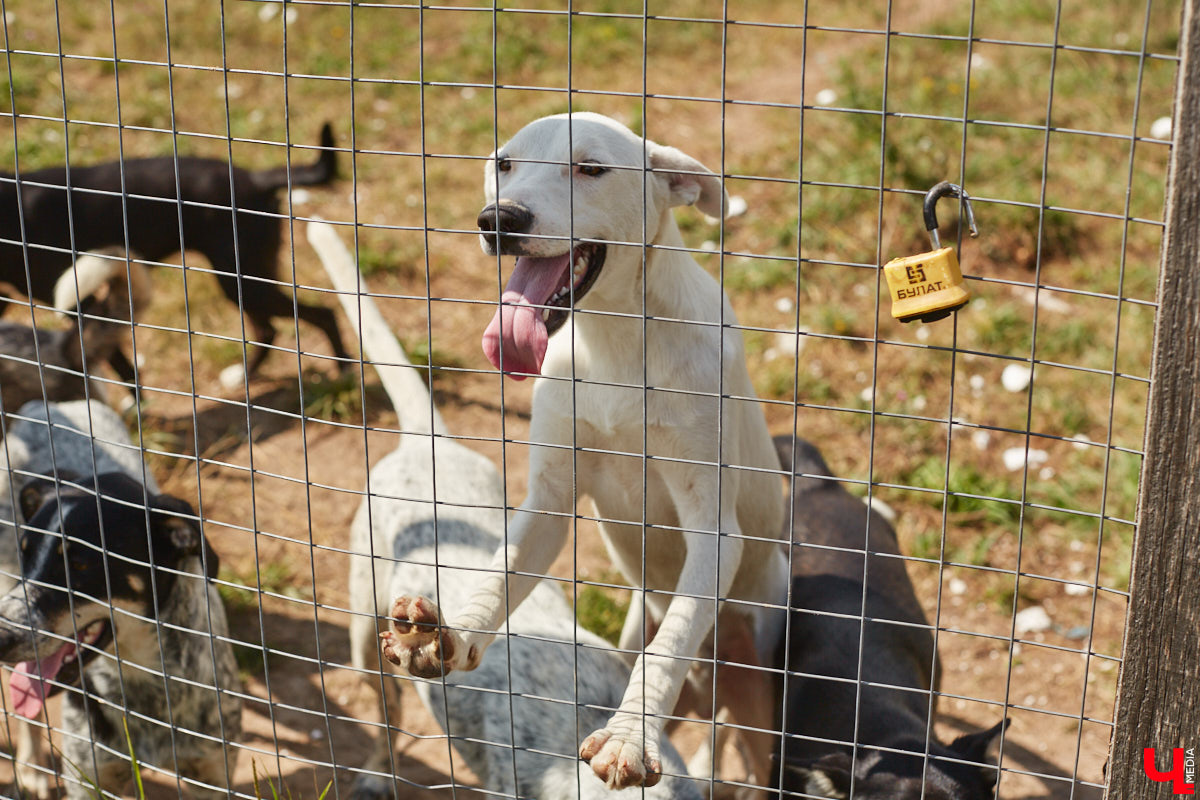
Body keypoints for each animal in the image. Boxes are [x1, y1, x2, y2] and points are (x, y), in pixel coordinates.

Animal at [0, 402, 241, 796]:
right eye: (27, 553)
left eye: (81, 564)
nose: (1, 637)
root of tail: (47, 405)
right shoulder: (89, 778)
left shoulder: (213, 774)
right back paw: (33, 769)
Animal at [1, 123, 350, 383]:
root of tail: (254, 179)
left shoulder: (79, 302)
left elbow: (118, 365)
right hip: (246, 280)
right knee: (269, 328)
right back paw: (245, 376)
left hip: (243, 280)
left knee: (321, 314)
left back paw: (344, 369)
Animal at [381, 113, 787, 796]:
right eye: (504, 164)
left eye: (591, 168)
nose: (500, 219)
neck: (615, 340)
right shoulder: (547, 502)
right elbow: (499, 573)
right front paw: (448, 634)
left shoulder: (714, 529)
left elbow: (669, 646)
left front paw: (630, 735)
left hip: (758, 629)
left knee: (726, 721)